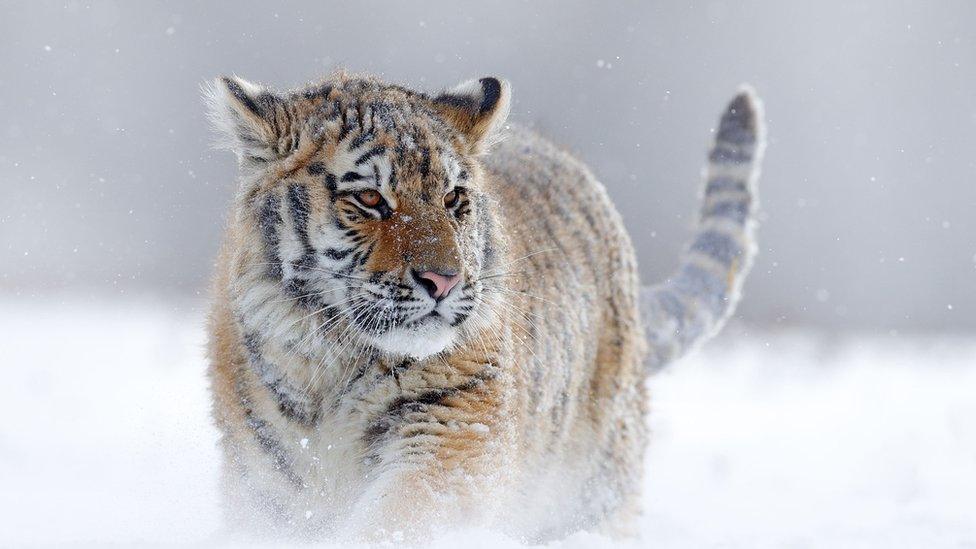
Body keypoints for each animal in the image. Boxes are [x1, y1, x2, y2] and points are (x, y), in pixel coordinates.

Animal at [206, 69, 768, 540]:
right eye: (369, 199)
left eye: (453, 199)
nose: (444, 280)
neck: (332, 365)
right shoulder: (261, 483)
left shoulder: (452, 429)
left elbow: (398, 518)